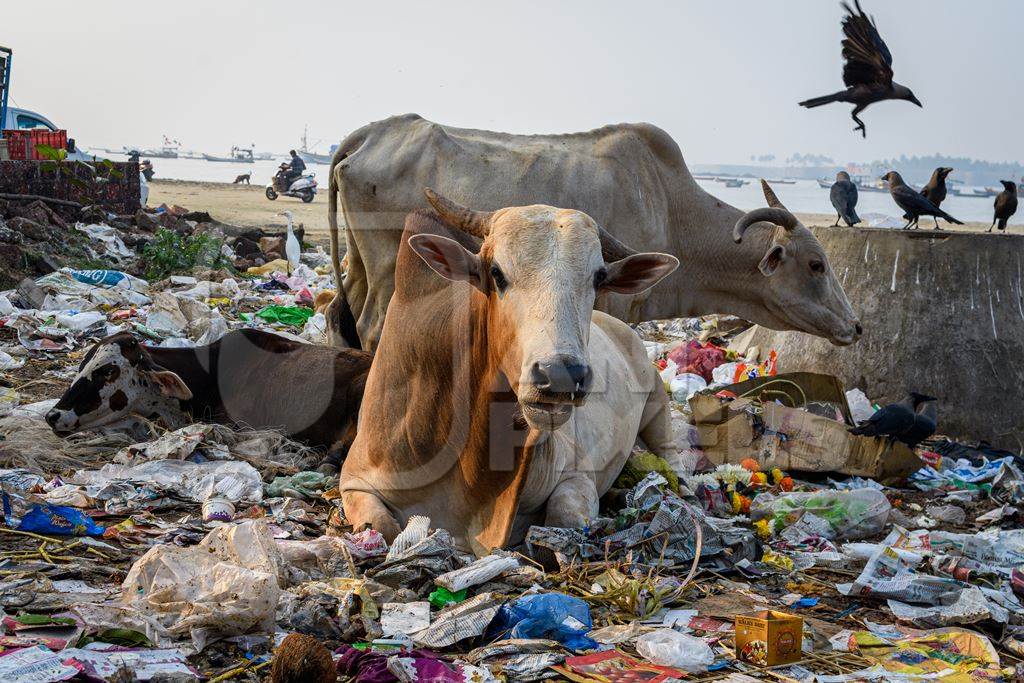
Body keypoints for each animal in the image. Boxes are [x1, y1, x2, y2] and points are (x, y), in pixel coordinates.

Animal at [342, 191, 679, 557]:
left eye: (598, 277)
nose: (560, 374)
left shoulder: (576, 474)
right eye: (496, 273)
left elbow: (563, 517)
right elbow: (384, 527)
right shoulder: (355, 480)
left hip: (658, 404)